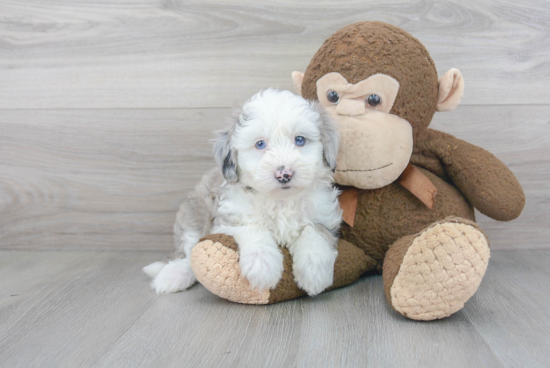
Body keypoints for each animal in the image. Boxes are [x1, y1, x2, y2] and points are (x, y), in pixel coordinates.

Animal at [144, 89, 342, 296]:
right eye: (260, 144)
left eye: (300, 140)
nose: (284, 174)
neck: (281, 201)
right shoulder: (227, 218)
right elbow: (253, 227)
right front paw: (262, 265)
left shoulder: (326, 217)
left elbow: (315, 230)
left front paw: (314, 270)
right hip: (193, 216)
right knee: (189, 252)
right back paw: (172, 276)